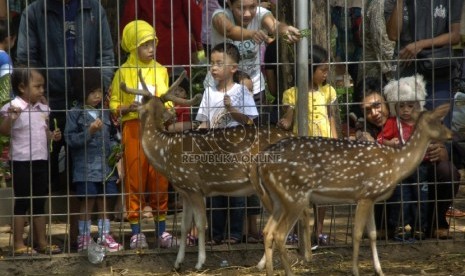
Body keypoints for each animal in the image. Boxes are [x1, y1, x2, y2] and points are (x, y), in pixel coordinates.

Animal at [119, 70, 298, 270]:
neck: (165, 153)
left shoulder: (194, 185)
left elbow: (200, 223)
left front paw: (199, 263)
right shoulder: (184, 191)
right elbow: (184, 226)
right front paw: (178, 263)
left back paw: (263, 263)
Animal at [252, 104, 452, 276]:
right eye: (439, 120)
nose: (451, 135)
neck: (396, 165)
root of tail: (261, 161)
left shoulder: (372, 198)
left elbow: (372, 234)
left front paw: (379, 270)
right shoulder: (365, 194)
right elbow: (357, 234)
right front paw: (355, 270)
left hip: (279, 199)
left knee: (267, 232)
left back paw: (269, 271)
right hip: (294, 196)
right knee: (279, 234)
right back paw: (289, 272)